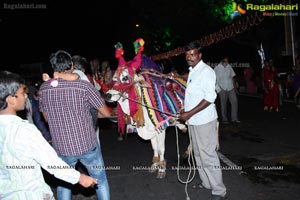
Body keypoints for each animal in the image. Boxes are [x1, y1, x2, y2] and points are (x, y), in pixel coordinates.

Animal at [104, 38, 186, 178]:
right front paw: (154, 165)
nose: (107, 95)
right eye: (114, 78)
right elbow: (154, 148)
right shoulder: (151, 130)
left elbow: (161, 148)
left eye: (125, 78)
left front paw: (161, 169)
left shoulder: (160, 128)